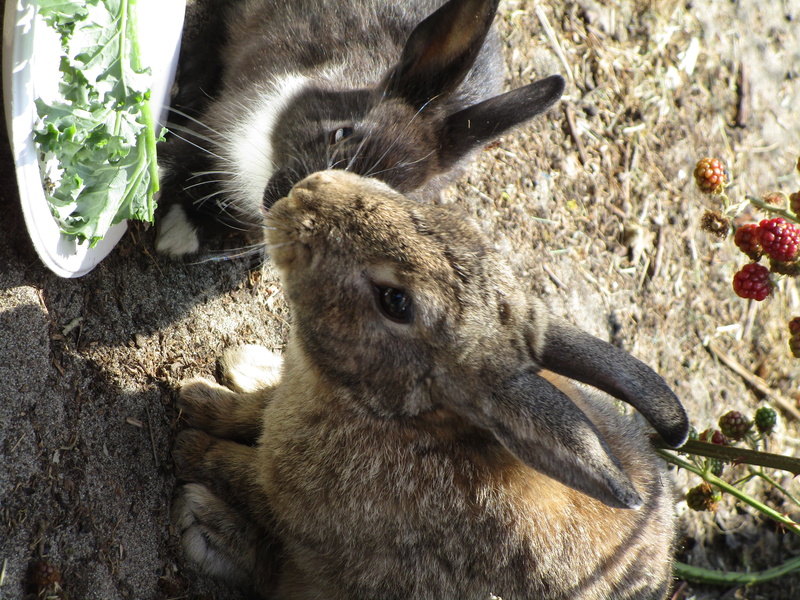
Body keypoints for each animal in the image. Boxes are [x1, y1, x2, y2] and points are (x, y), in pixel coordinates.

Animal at [155, 0, 566, 257]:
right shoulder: (222, 123)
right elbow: (174, 160)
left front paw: (180, 232)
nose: (295, 206)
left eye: (390, 196)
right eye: (342, 133)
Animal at [171, 169, 690, 600]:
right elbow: (247, 412)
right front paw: (199, 399)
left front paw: (190, 445)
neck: (398, 417)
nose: (306, 193)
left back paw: (206, 525)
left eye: (395, 301)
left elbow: (233, 469)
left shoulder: (291, 505)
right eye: (447, 220)